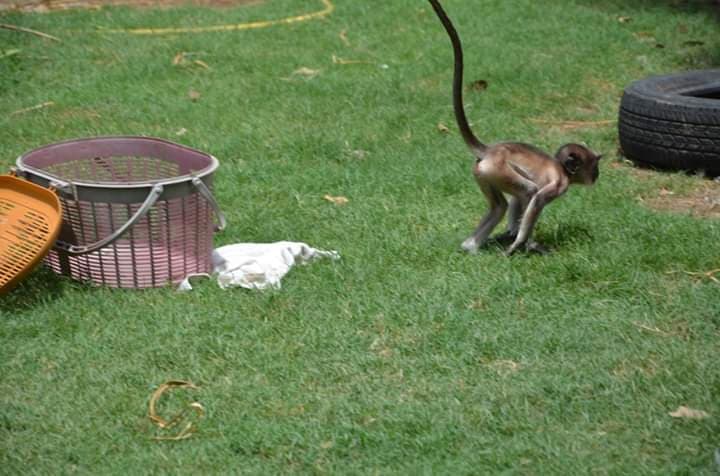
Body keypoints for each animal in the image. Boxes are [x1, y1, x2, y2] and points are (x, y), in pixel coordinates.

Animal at [427, 0, 602, 256]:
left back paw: (471, 247)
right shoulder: (559, 184)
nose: (597, 176)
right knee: (527, 191)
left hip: (483, 172)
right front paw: (520, 243)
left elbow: (516, 203)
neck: (561, 168)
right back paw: (517, 243)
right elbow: (536, 200)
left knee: (500, 205)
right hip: (498, 169)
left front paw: (511, 237)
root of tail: (491, 151)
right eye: (593, 166)